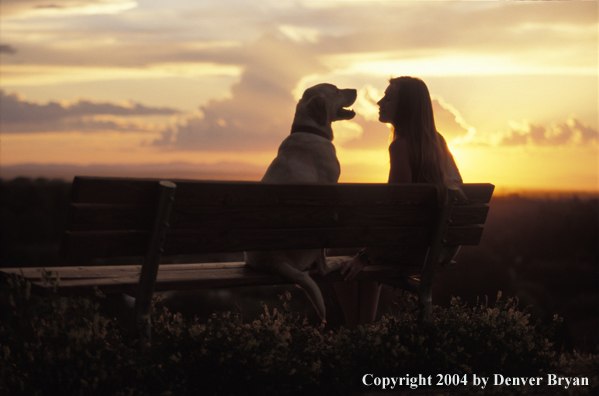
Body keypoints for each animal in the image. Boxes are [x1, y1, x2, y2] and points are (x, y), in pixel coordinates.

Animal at [244, 83, 356, 322]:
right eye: (335, 89)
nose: (355, 89)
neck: (310, 129)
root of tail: (273, 260)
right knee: (322, 267)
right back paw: (332, 264)